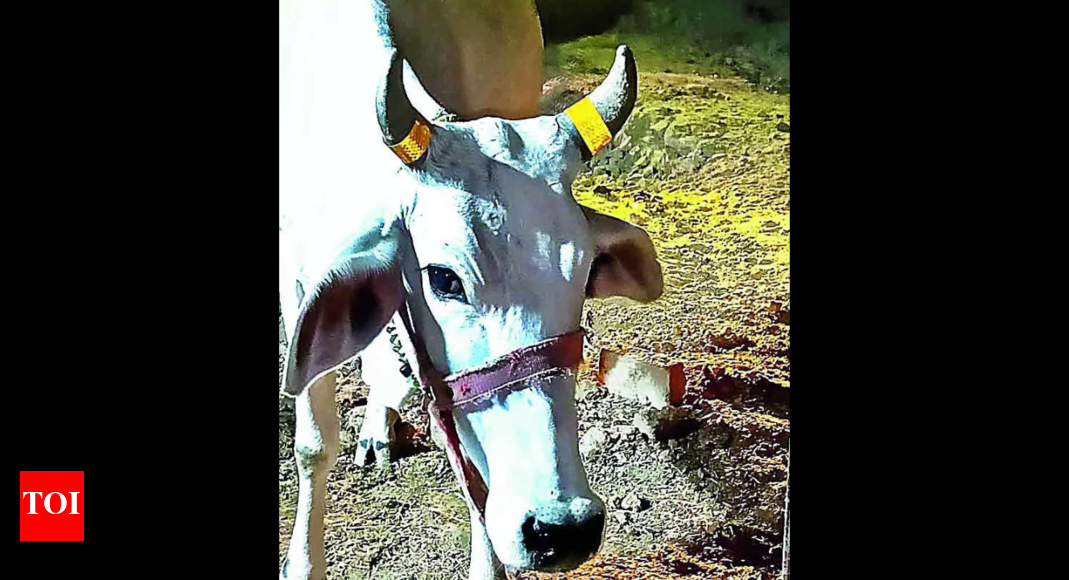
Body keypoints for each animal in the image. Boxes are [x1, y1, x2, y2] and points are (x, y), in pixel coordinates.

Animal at [279, 1, 663, 579]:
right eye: (443, 278)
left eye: (585, 273)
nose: (563, 529)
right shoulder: (295, 275)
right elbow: (313, 445)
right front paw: (302, 563)